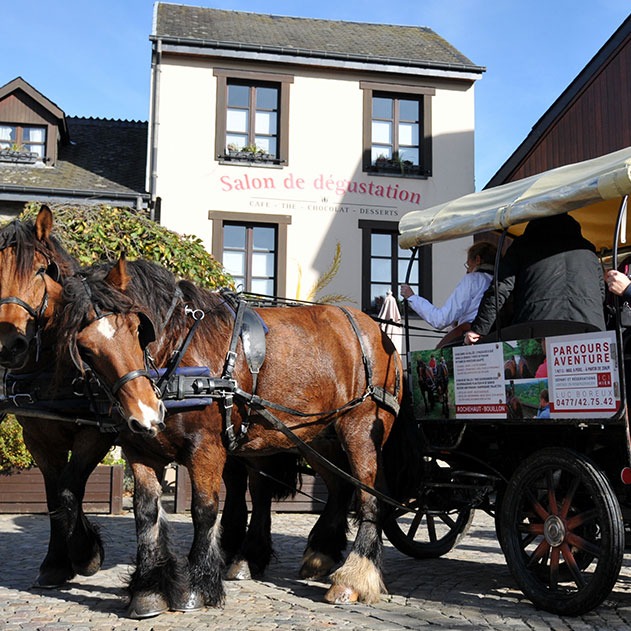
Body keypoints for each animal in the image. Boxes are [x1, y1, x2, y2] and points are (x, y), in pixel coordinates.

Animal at [58, 256, 404, 616]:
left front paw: (196, 587)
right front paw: (148, 589)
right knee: (340, 487)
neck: (182, 357)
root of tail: (376, 330)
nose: (145, 414)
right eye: (85, 347)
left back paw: (354, 576)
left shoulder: (206, 447)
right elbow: (146, 513)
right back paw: (320, 553)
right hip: (316, 438)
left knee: (369, 496)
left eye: (137, 329)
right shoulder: (141, 450)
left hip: (360, 430)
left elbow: (204, 509)